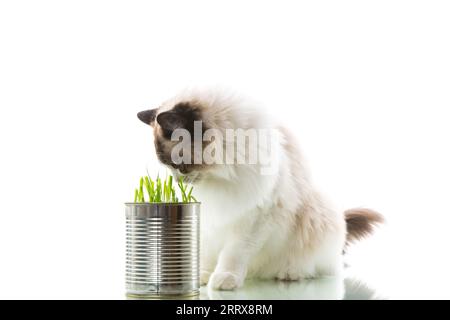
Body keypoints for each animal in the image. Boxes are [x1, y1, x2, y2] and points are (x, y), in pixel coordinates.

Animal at [137, 87, 384, 290]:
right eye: (169, 168)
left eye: (179, 166)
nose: (179, 181)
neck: (225, 170)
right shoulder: (211, 220)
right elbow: (206, 254)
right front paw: (201, 277)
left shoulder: (256, 216)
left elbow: (233, 254)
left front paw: (224, 279)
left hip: (320, 216)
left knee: (315, 267)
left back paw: (290, 273)